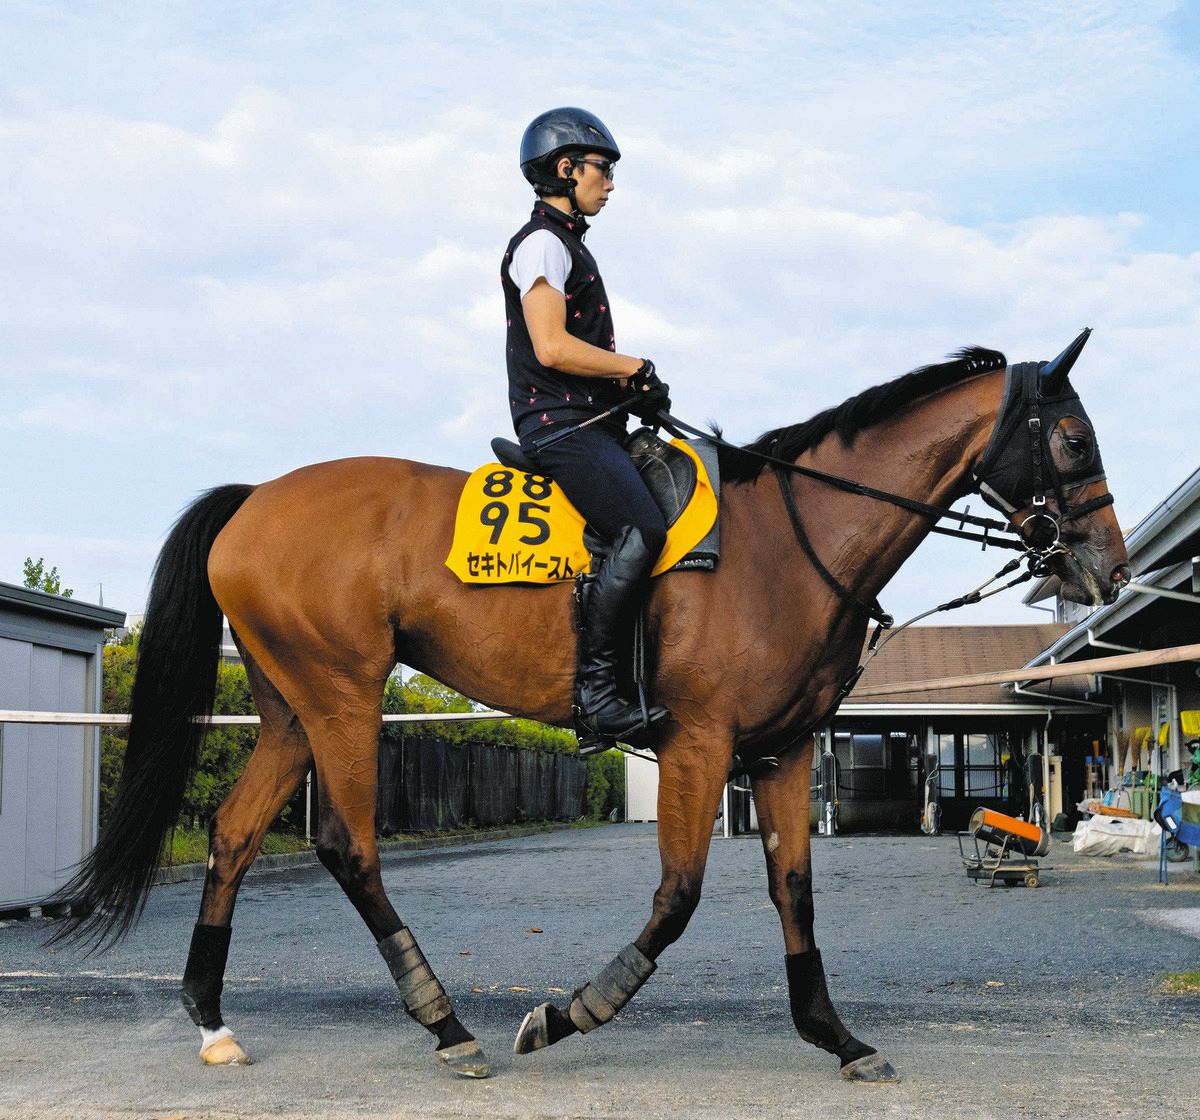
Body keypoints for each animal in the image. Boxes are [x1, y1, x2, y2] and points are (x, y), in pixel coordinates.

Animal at [56, 332, 1130, 1083]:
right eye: (1075, 438)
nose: (1106, 570)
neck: (790, 543)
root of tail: (254, 501)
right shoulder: (701, 746)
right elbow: (679, 898)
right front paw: (569, 1013)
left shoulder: (782, 752)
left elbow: (794, 892)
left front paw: (837, 1036)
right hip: (342, 698)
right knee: (349, 848)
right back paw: (447, 1025)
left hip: (289, 710)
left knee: (235, 835)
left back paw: (213, 1022)